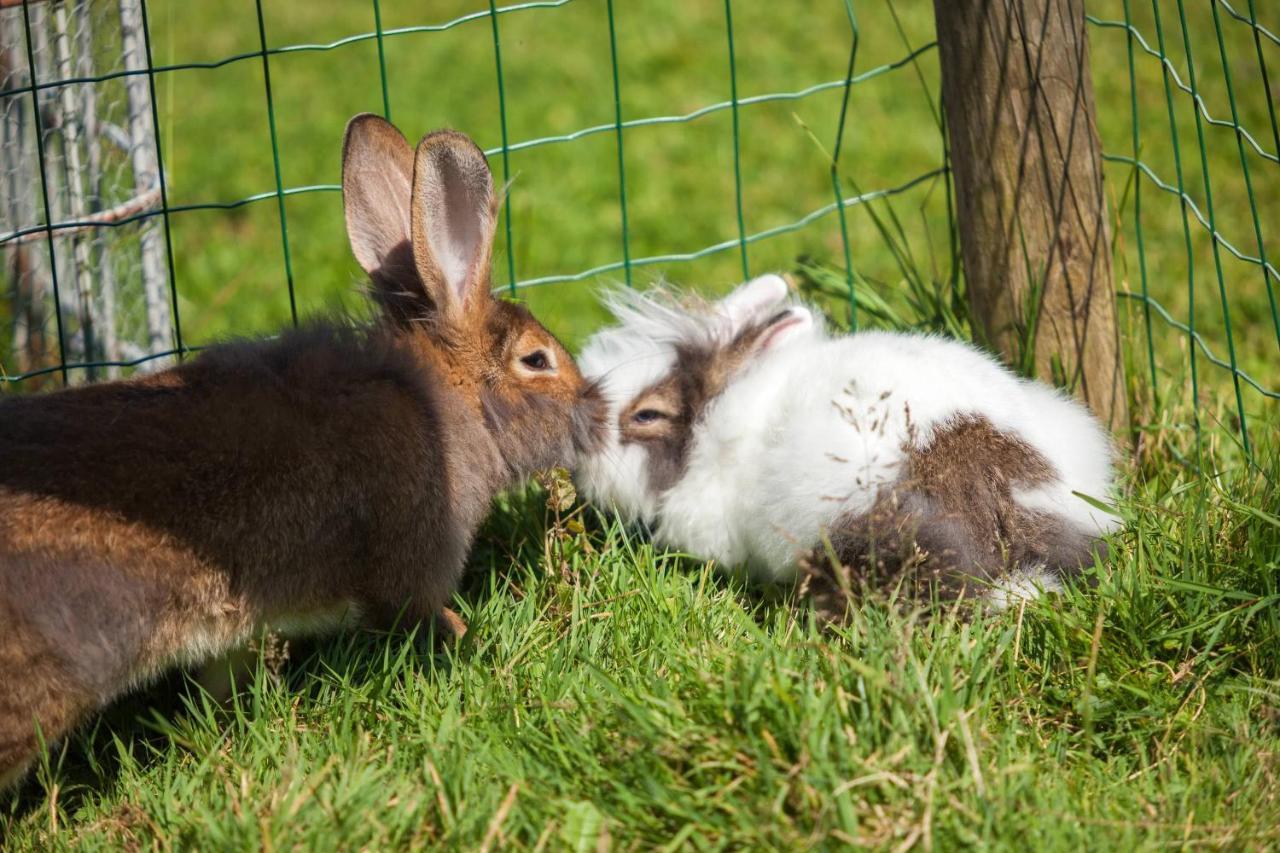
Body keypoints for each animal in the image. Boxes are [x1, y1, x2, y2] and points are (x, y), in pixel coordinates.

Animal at [0, 114, 606, 783]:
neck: (443, 400)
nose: (596, 410)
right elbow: (425, 615)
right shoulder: (412, 569)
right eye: (536, 360)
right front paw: (467, 638)